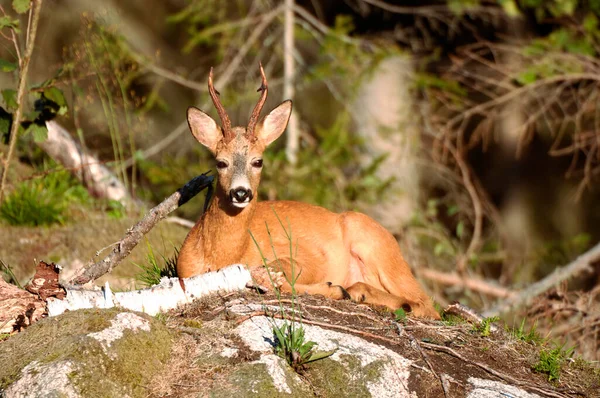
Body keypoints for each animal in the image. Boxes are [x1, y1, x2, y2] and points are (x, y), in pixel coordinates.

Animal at [176, 65, 438, 320]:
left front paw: (333, 288)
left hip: (377, 247)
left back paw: (365, 294)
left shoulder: (308, 255)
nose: (241, 193)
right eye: (221, 162)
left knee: (427, 304)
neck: (221, 257)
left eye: (258, 161)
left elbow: (268, 273)